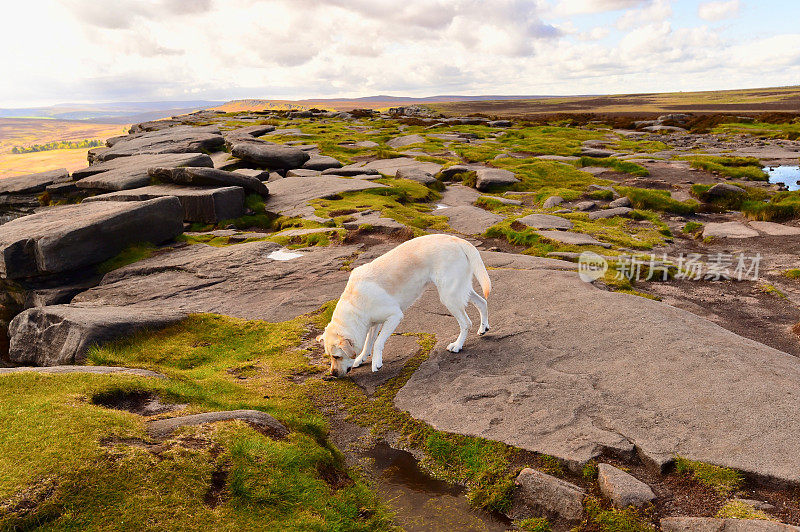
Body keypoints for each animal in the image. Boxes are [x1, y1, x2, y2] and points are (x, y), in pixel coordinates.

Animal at [318, 234, 488, 378]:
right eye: (329, 357)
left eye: (336, 356)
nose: (333, 374)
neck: (355, 303)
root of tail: (456, 239)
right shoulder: (374, 323)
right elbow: (368, 342)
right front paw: (360, 359)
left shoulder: (394, 316)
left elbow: (378, 342)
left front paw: (376, 363)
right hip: (460, 290)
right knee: (483, 302)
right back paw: (483, 328)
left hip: (449, 296)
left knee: (466, 323)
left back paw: (457, 345)